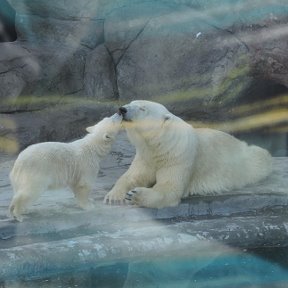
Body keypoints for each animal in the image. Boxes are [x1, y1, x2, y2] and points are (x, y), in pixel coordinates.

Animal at [104, 100, 272, 207]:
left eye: (143, 108)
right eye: (130, 102)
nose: (122, 109)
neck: (160, 144)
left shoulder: (178, 155)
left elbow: (169, 188)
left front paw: (135, 194)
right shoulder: (145, 156)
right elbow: (132, 176)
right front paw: (114, 196)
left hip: (249, 160)